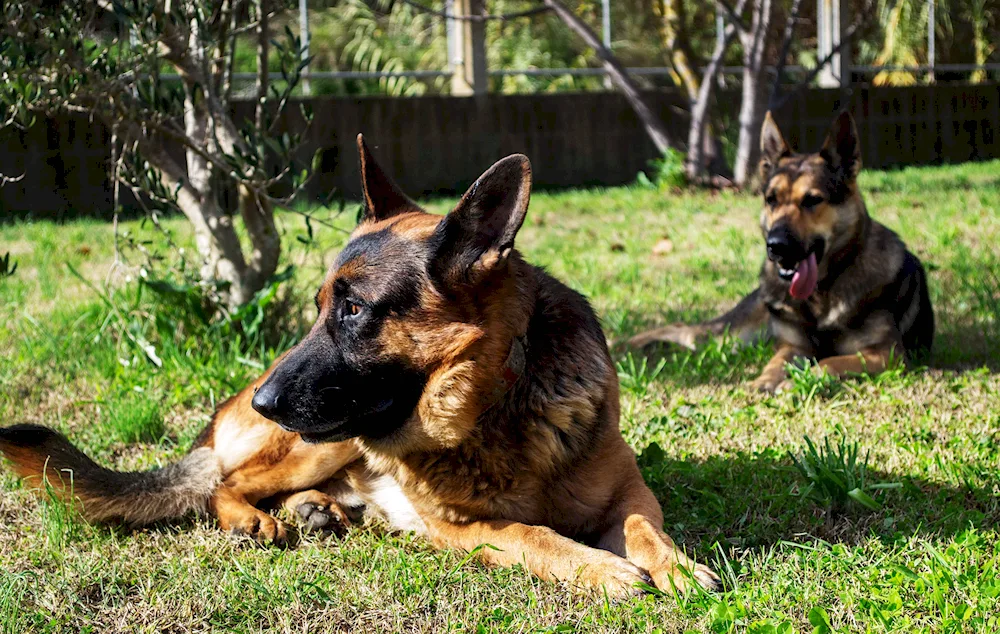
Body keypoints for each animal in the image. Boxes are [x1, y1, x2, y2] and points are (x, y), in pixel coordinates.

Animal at [0, 136, 720, 596]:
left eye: (352, 310)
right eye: (320, 307)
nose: (264, 402)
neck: (496, 405)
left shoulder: (628, 489)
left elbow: (643, 527)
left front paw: (678, 567)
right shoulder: (464, 529)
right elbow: (533, 535)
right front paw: (603, 570)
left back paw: (321, 511)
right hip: (318, 441)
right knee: (222, 484)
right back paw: (257, 518)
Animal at [628, 112, 932, 390]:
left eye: (812, 200)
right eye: (771, 199)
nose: (775, 246)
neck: (823, 292)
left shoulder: (886, 354)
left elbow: (830, 361)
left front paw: (803, 379)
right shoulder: (792, 347)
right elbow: (776, 362)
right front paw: (765, 380)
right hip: (732, 333)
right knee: (684, 329)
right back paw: (630, 343)